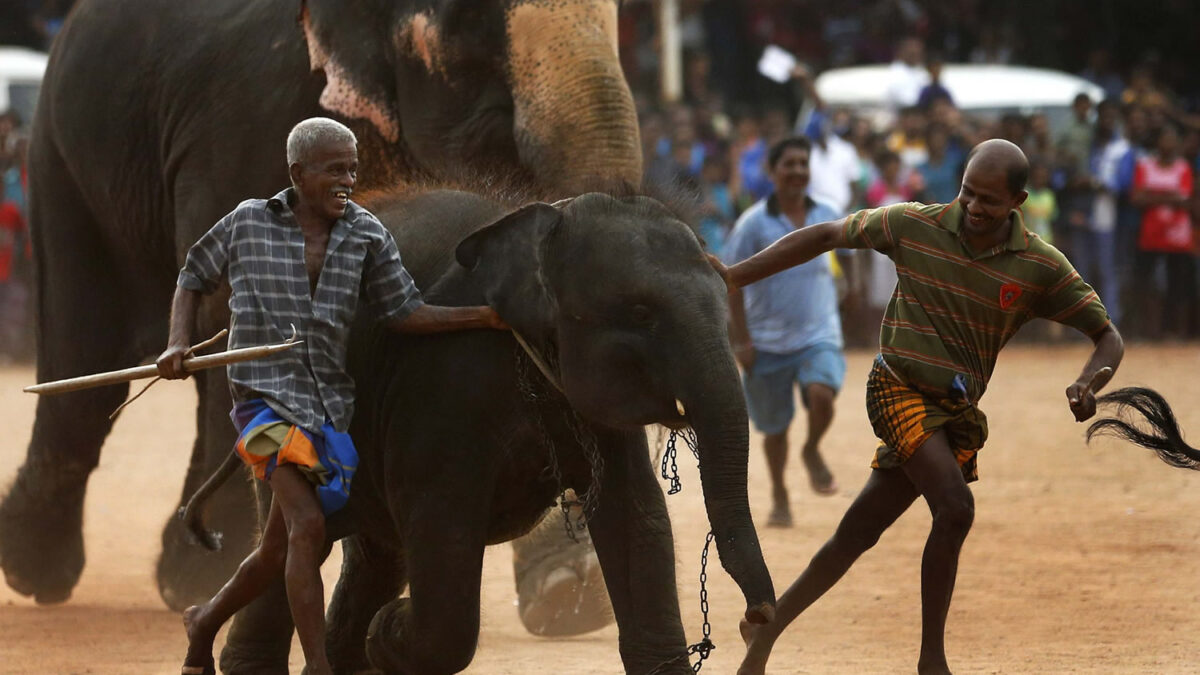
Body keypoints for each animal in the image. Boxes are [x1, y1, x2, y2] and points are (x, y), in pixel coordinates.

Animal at [0, 0, 643, 607]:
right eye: (466, 28)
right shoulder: (247, 117)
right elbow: (225, 309)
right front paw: (201, 579)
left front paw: (567, 594)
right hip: (61, 155)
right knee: (84, 343)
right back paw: (41, 573)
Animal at [184, 184, 768, 672]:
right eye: (642, 313)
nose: (755, 618)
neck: (539, 224)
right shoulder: (442, 382)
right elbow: (441, 529)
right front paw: (390, 631)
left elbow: (636, 519)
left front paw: (382, 635)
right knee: (297, 541)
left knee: (367, 551)